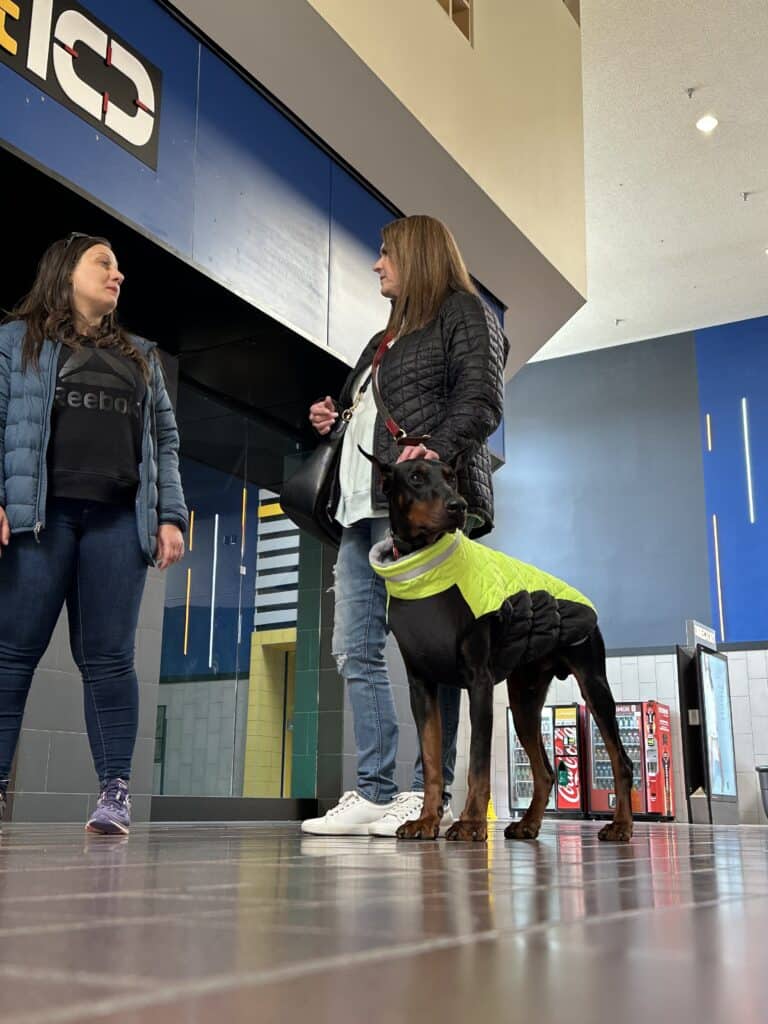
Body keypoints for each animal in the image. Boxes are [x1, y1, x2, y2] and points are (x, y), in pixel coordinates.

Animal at [364, 452, 634, 843]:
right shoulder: (421, 686)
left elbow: (478, 762)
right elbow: (431, 760)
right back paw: (529, 824)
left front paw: (471, 823)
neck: (424, 572)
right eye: (415, 476)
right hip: (524, 699)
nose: (458, 506)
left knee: (621, 760)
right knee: (545, 770)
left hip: (593, 683)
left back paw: (621, 825)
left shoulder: (479, 682)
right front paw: (426, 821)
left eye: (452, 476)